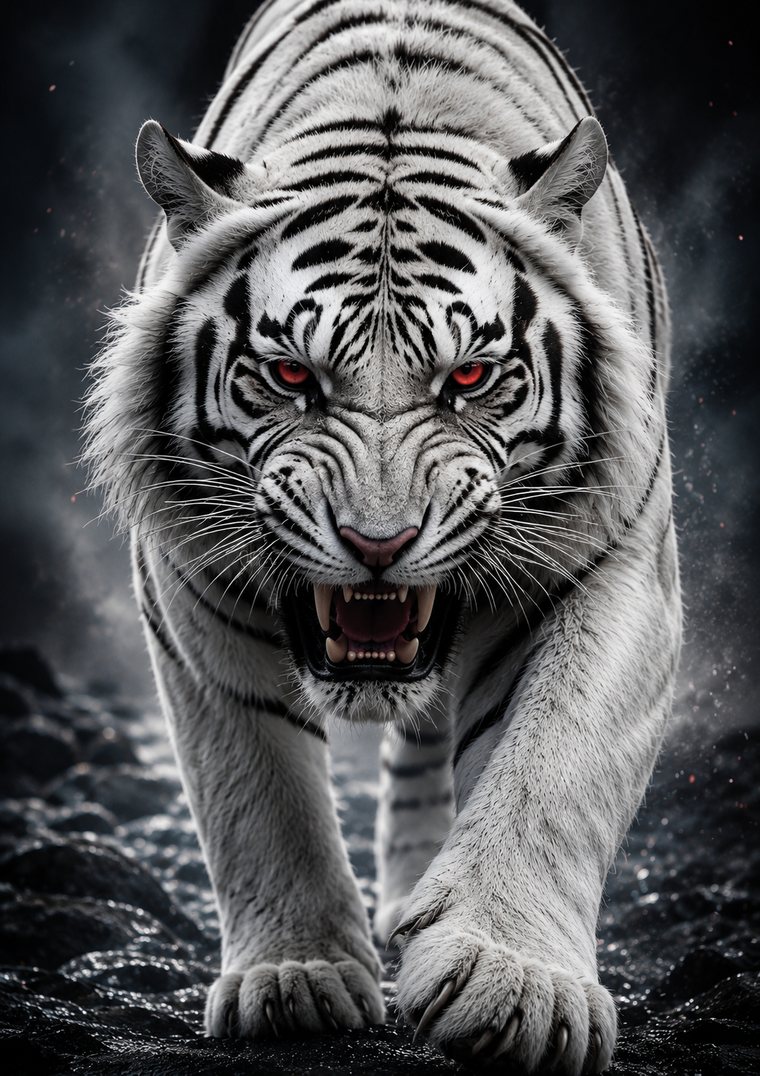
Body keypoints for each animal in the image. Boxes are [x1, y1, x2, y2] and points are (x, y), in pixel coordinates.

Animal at [83, 0, 681, 1071]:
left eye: (471, 378)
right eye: (289, 376)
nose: (377, 543)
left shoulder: (618, 570)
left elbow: (551, 767)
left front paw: (510, 985)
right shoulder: (190, 590)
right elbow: (257, 794)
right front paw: (297, 980)